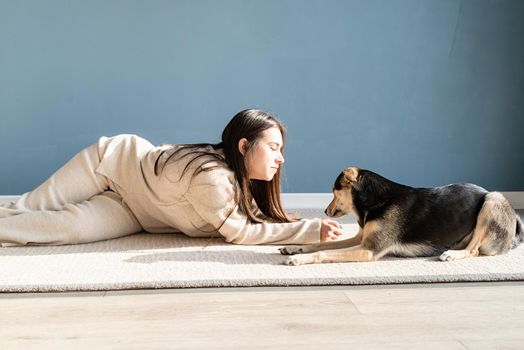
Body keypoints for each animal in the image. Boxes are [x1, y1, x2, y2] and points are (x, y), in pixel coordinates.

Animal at [280, 167, 520, 266]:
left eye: (334, 190)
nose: (325, 212)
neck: (376, 201)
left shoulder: (369, 250)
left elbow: (322, 253)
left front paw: (297, 258)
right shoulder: (361, 239)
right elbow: (320, 245)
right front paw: (294, 248)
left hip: (492, 200)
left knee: (473, 250)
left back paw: (452, 254)